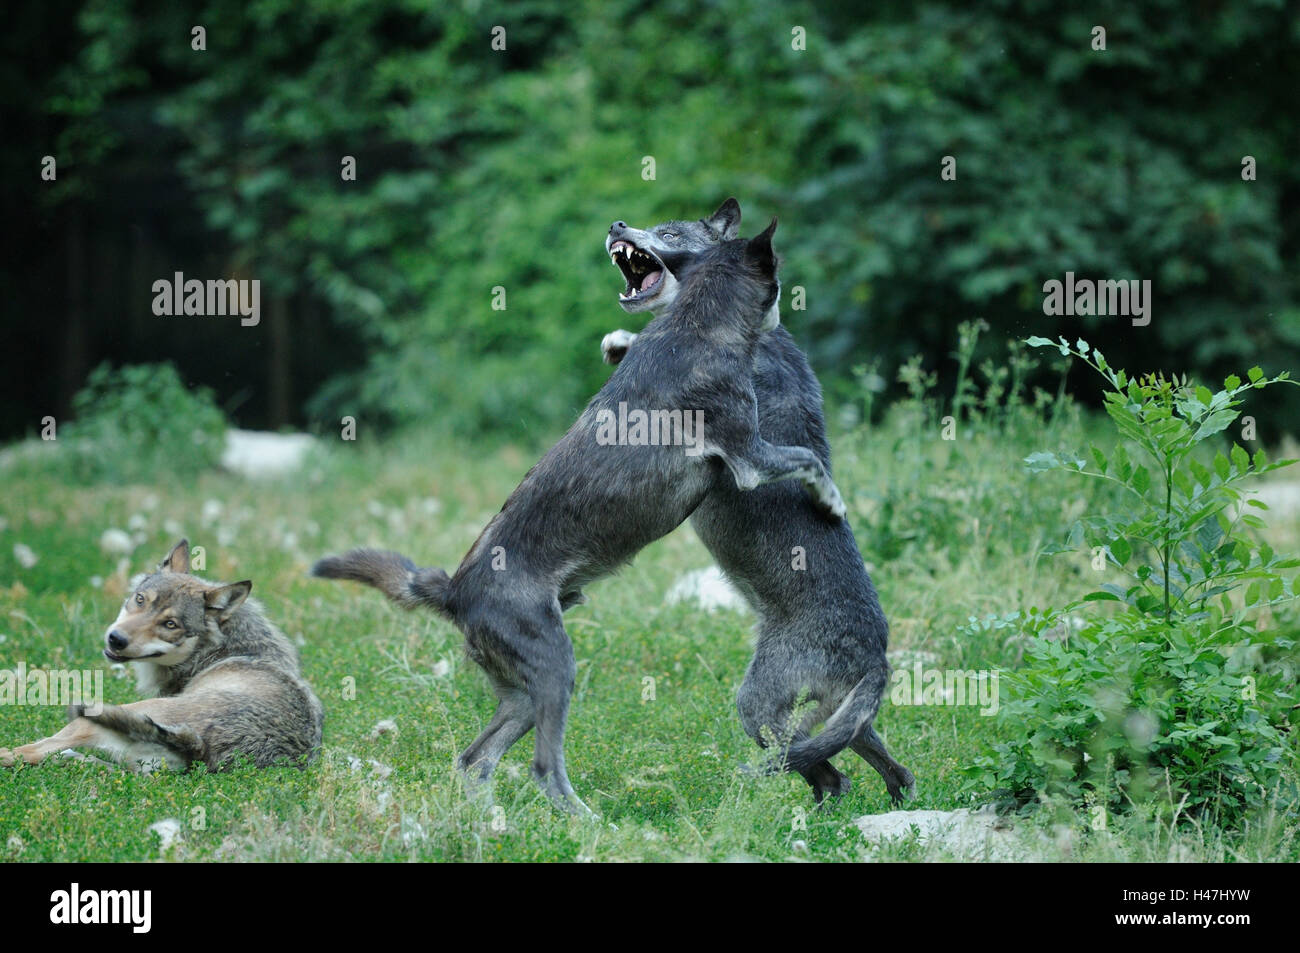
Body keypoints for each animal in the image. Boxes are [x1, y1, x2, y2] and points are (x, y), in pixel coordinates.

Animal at [0, 538, 322, 769]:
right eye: (140, 600)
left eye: (170, 624)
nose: (116, 639)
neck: (218, 651)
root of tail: (198, 747)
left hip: (97, 716)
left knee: (33, 751)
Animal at [314, 219, 842, 816]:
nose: (617, 225)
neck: (697, 326)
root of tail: (452, 592)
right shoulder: (751, 457)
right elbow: (809, 459)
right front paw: (833, 502)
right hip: (555, 672)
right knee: (544, 768)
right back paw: (589, 822)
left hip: (523, 695)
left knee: (475, 760)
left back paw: (494, 820)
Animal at [600, 198, 915, 800]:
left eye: (669, 231)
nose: (615, 225)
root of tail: (877, 658)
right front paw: (617, 343)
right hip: (845, 721)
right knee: (884, 769)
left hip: (758, 706)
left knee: (826, 774)